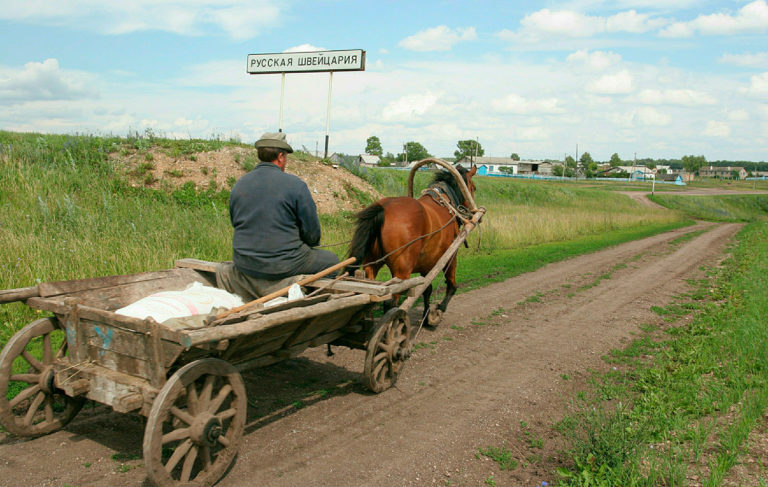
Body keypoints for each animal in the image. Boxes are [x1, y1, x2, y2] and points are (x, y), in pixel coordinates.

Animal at [346, 165, 474, 328]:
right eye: (474, 187)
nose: (472, 213)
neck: (446, 204)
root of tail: (383, 208)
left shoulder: (427, 263)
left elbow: (427, 289)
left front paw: (426, 315)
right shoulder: (450, 256)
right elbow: (450, 285)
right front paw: (438, 310)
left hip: (371, 265)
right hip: (402, 273)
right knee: (390, 302)